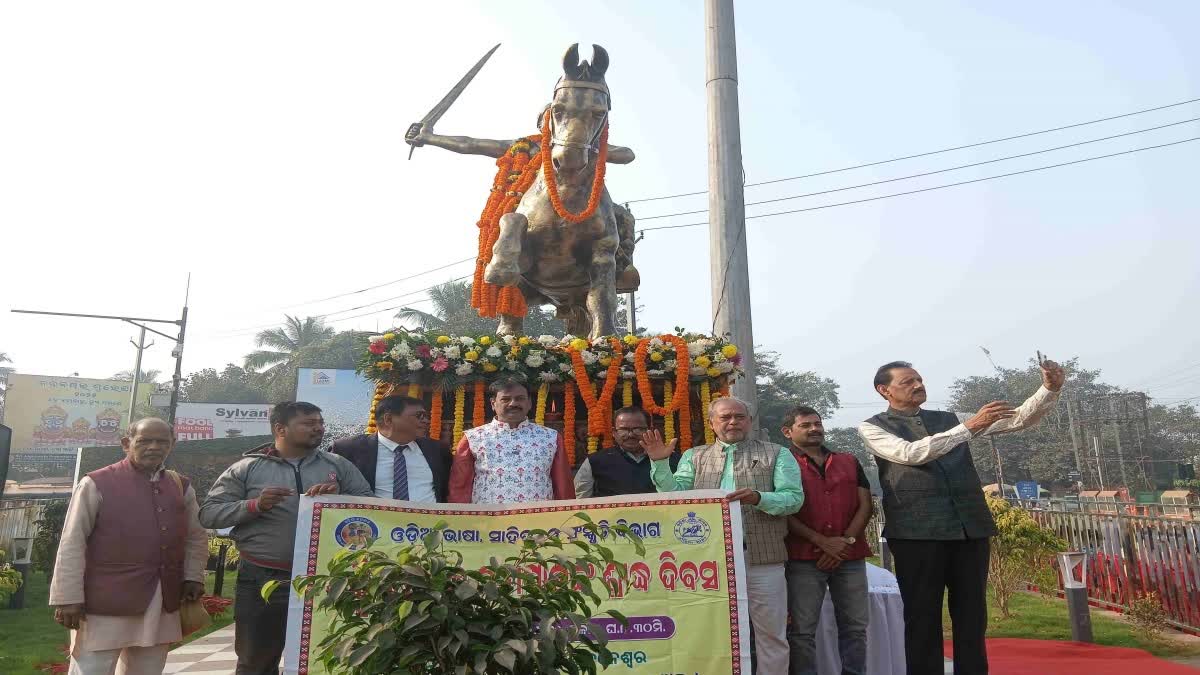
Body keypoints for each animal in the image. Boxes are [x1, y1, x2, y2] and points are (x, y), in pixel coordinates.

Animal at [408, 42, 638, 336]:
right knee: (512, 315)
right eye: (558, 109)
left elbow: (601, 297)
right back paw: (507, 334)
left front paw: (604, 337)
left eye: (599, 112)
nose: (569, 161)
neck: (567, 196)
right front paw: (499, 267)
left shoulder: (603, 252)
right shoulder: (529, 261)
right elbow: (512, 219)